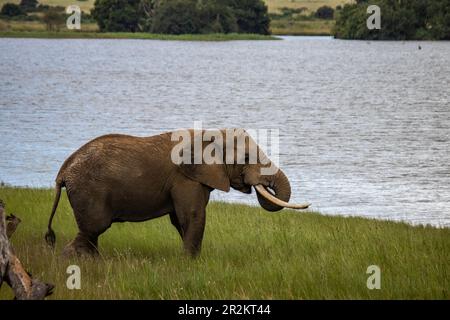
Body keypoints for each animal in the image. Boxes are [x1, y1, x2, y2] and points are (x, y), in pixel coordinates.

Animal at [45, 129, 312, 256]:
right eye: (246, 158)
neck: (209, 133)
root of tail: (62, 172)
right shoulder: (185, 178)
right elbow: (193, 217)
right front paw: (191, 263)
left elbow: (180, 220)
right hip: (89, 192)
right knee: (93, 229)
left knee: (90, 234)